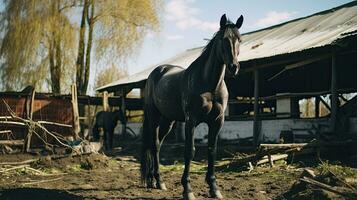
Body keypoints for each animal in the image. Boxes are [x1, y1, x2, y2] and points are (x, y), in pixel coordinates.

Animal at [140, 14, 243, 199]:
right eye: (223, 39)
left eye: (240, 39)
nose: (233, 67)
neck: (210, 85)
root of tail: (157, 72)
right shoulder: (191, 121)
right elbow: (189, 151)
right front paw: (188, 190)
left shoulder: (217, 121)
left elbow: (211, 150)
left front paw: (214, 188)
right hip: (154, 117)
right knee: (154, 144)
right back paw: (156, 180)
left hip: (168, 121)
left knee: (157, 145)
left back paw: (156, 182)